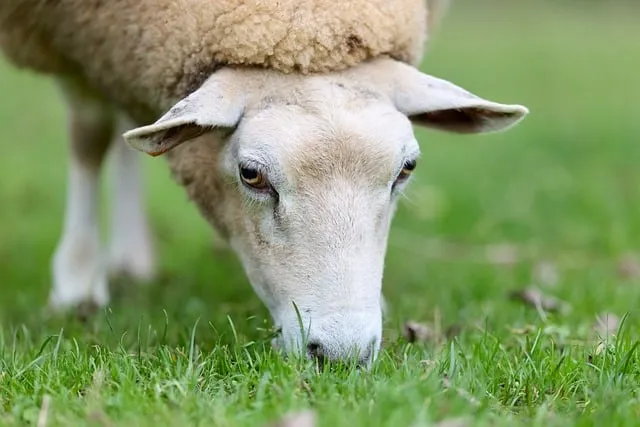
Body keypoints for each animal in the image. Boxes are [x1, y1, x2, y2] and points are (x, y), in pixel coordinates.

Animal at [0, 0, 528, 366]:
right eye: (251, 175)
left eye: (406, 169)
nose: (341, 355)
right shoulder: (71, 34)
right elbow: (89, 135)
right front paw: (76, 284)